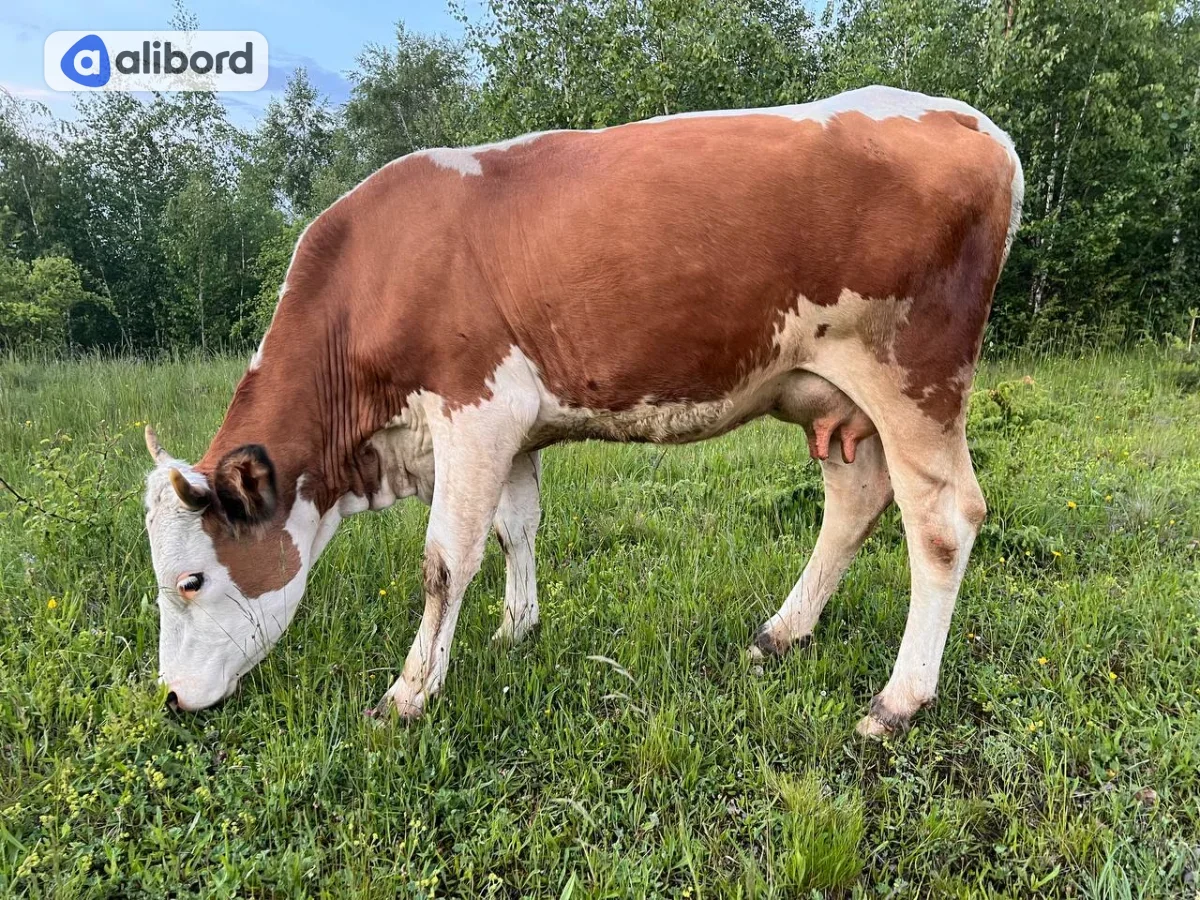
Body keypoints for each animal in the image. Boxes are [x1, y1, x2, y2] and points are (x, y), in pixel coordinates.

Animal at [143, 85, 1023, 737]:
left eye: (189, 579)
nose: (171, 697)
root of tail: (969, 120)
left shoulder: (475, 408)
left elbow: (444, 561)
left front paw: (410, 693)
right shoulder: (514, 428)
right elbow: (514, 529)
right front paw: (515, 631)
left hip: (916, 374)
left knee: (944, 520)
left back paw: (900, 699)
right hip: (835, 395)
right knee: (855, 500)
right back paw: (781, 633)